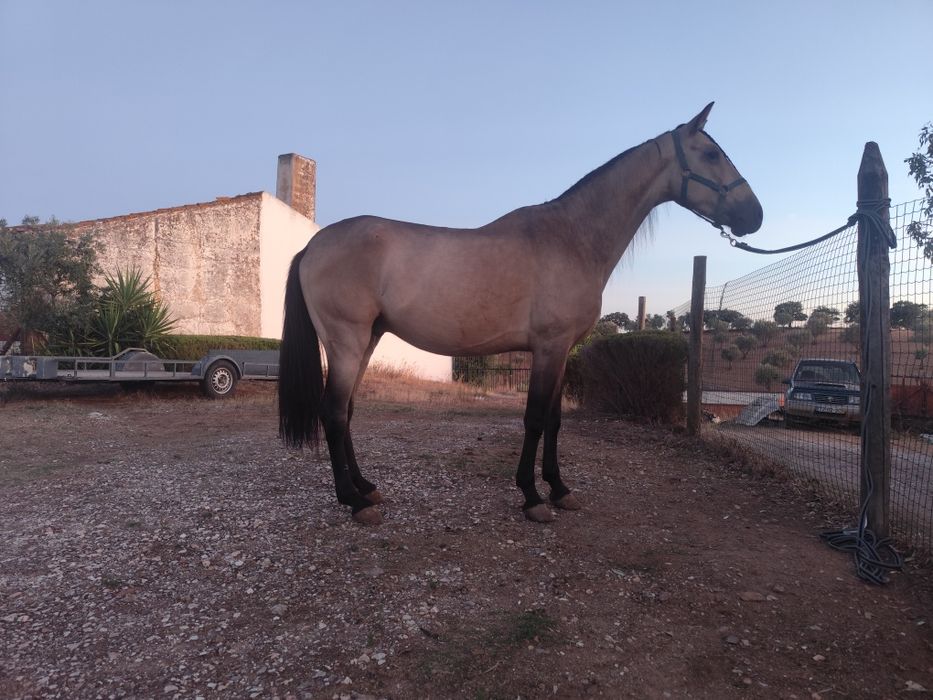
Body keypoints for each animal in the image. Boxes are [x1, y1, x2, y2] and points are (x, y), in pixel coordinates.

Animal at [278, 102, 762, 525]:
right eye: (711, 154)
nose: (755, 216)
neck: (571, 238)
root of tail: (312, 246)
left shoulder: (562, 352)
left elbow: (554, 420)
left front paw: (560, 489)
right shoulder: (547, 348)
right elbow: (533, 419)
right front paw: (532, 498)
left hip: (367, 340)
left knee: (347, 410)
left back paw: (366, 487)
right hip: (346, 341)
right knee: (333, 412)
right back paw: (354, 502)